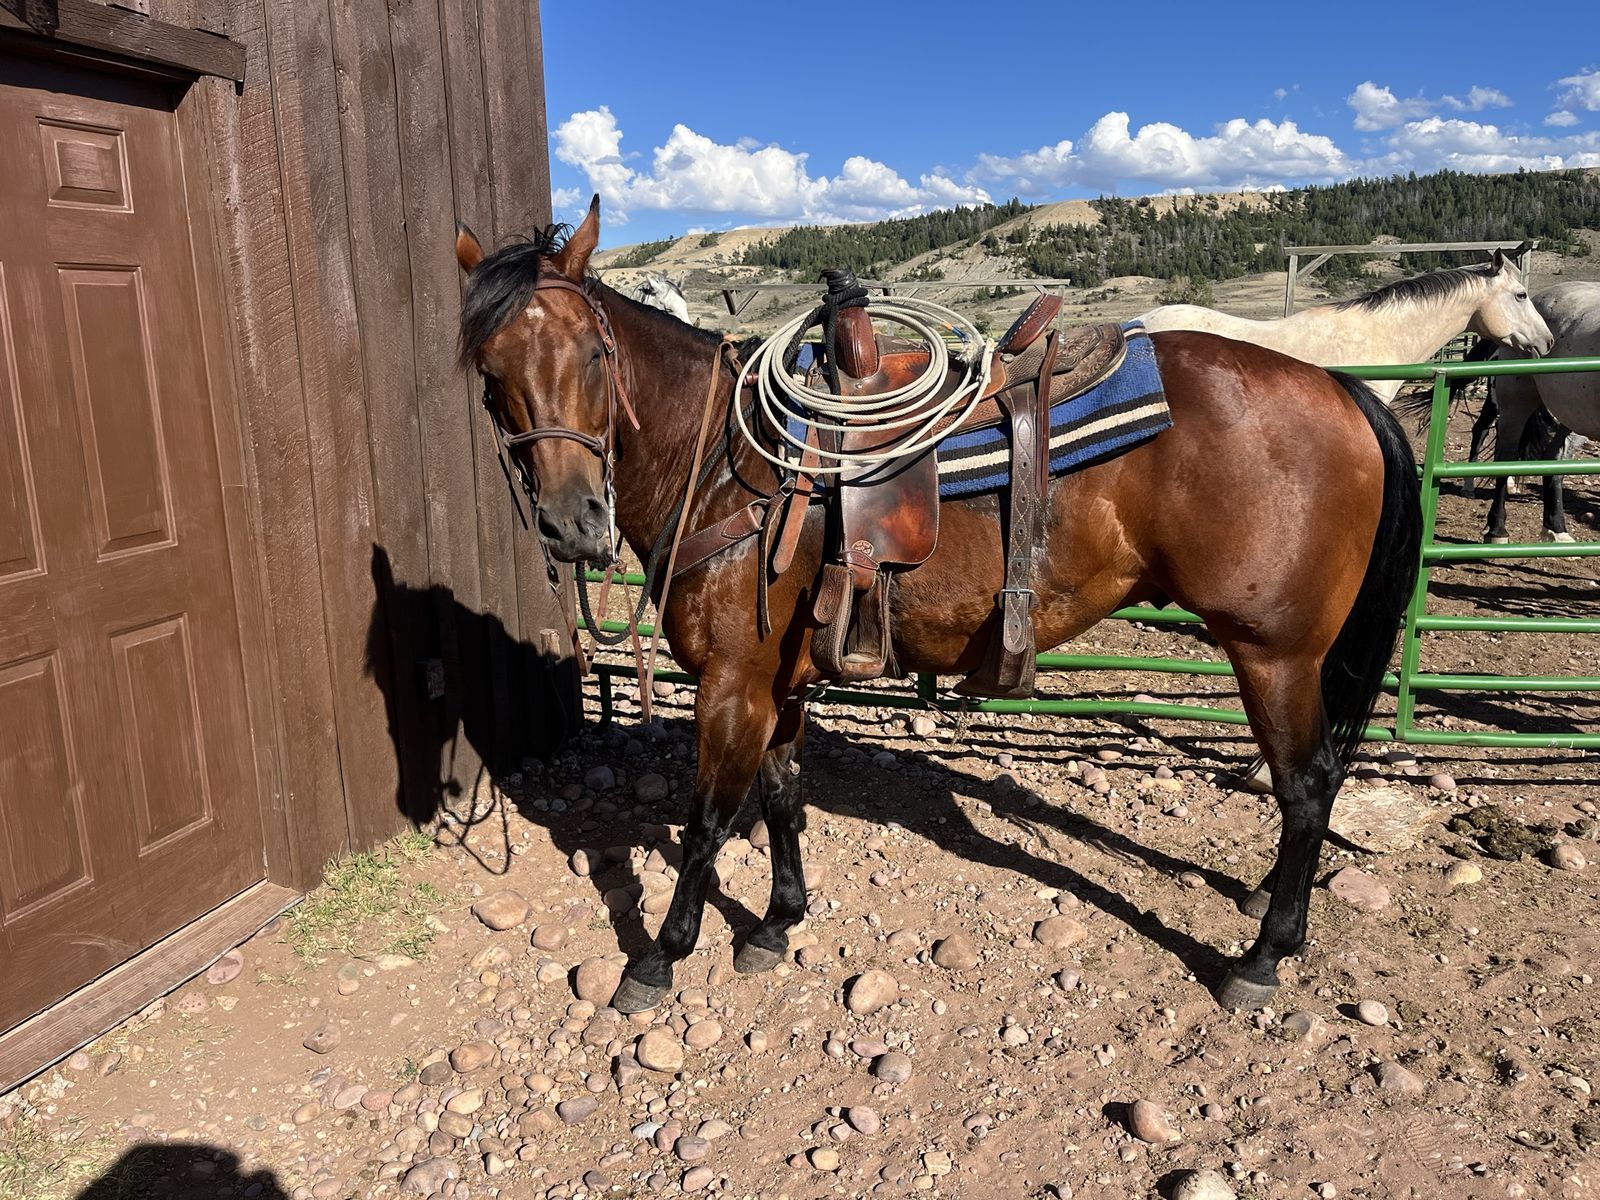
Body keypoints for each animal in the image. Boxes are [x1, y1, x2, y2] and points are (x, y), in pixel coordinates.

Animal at [454, 196, 1422, 1015]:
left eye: (595, 354)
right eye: (490, 373)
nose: (574, 522)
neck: (736, 464)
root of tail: (1338, 387)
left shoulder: (731, 683)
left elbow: (705, 824)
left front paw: (659, 957)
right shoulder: (778, 681)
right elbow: (782, 795)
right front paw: (778, 921)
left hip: (1275, 654)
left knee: (1308, 785)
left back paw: (1263, 955)